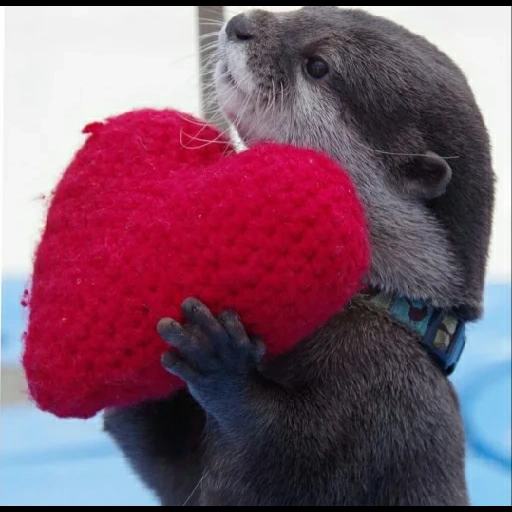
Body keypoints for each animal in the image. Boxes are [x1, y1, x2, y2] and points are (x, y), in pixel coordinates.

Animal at [103, 6, 492, 506]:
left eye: (318, 66)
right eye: (301, 13)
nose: (240, 24)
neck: (394, 307)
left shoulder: (379, 396)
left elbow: (282, 443)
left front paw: (219, 361)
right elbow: (166, 466)